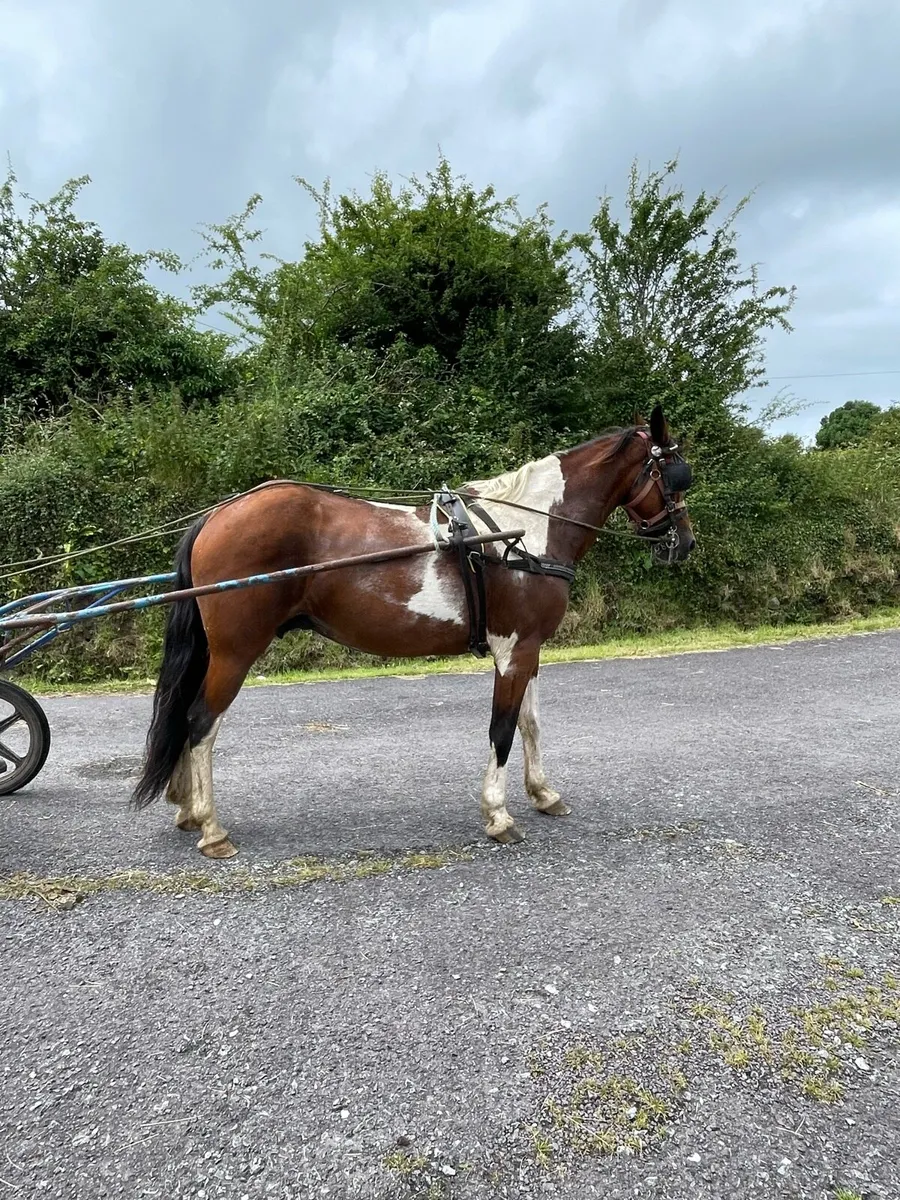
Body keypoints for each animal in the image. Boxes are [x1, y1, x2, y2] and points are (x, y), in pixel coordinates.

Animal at [131, 403, 695, 857]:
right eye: (674, 474)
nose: (685, 544)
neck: (527, 532)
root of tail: (217, 516)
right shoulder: (511, 650)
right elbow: (502, 729)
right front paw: (498, 815)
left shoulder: (529, 649)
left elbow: (531, 724)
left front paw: (544, 793)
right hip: (235, 651)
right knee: (201, 722)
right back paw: (211, 827)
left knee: (185, 715)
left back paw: (187, 808)